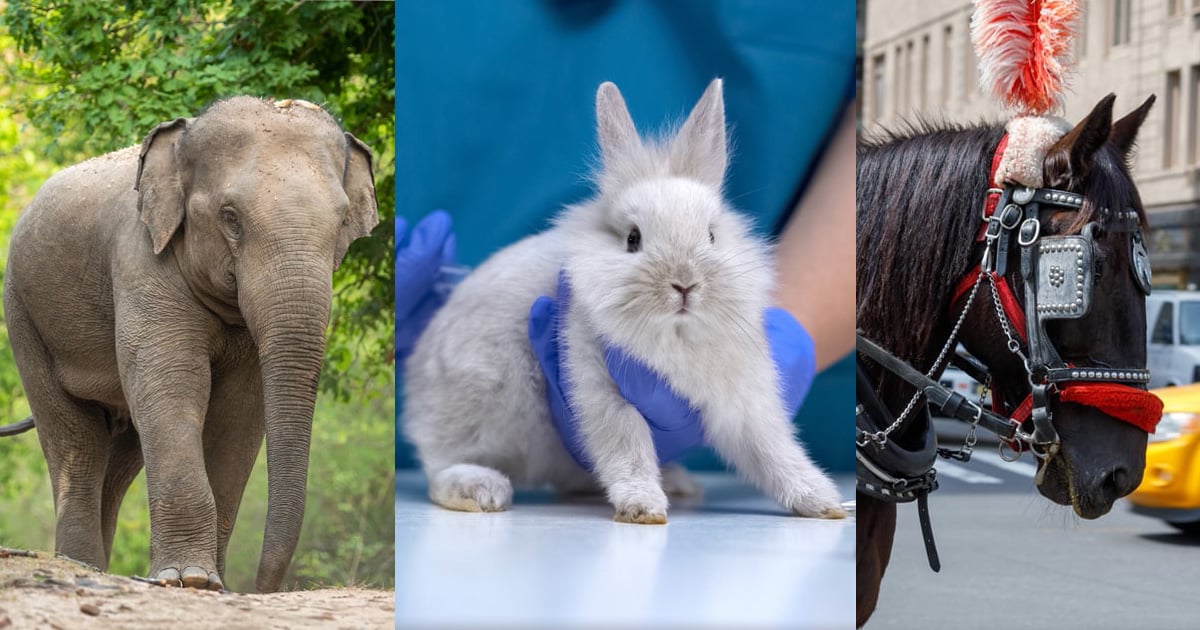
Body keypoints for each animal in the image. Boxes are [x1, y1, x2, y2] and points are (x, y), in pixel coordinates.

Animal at [0, 96, 379, 592]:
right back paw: (81, 565)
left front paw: (210, 583)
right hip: (24, 314)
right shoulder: (141, 260)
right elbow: (174, 384)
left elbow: (238, 412)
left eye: (342, 221)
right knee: (76, 441)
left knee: (121, 456)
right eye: (230, 218)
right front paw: (189, 579)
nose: (258, 588)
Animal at [402, 78, 846, 523]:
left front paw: (821, 501)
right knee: (441, 467)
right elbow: (626, 444)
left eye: (711, 235)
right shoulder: (601, 385)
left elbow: (773, 449)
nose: (685, 284)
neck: (676, 336)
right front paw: (643, 507)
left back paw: (677, 482)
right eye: (633, 239)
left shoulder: (744, 400)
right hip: (479, 403)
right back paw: (480, 488)